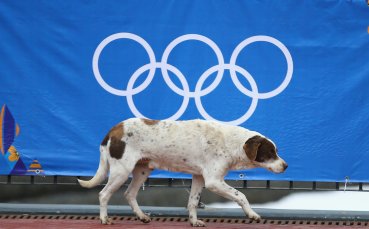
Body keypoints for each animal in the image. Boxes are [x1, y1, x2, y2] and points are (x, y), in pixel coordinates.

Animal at [77, 119, 286, 226]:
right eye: (271, 153)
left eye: (276, 151)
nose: (286, 166)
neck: (230, 143)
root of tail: (113, 130)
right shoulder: (213, 181)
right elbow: (241, 195)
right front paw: (252, 214)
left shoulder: (199, 177)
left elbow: (192, 202)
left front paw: (194, 221)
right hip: (121, 171)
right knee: (103, 194)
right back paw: (104, 219)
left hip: (142, 170)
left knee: (129, 194)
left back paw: (142, 216)